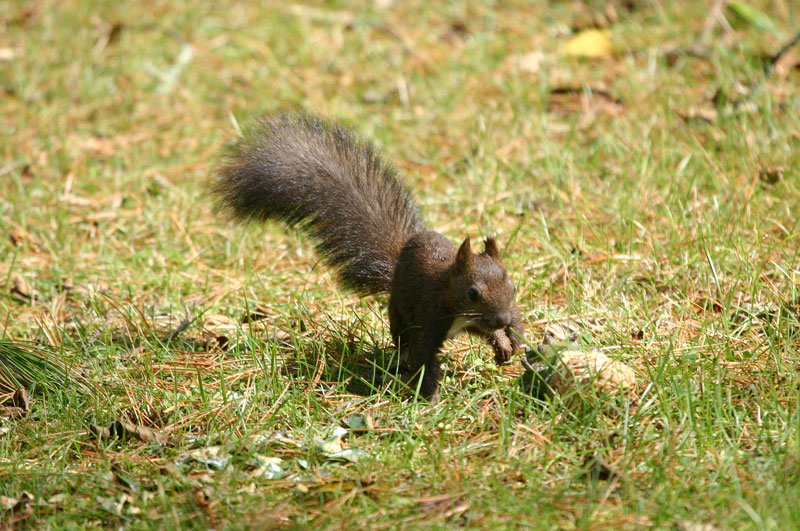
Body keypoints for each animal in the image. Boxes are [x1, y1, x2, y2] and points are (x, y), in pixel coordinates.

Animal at [212, 111, 524, 400]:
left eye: (512, 287)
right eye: (472, 293)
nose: (504, 320)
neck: (448, 292)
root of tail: (397, 263)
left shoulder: (474, 320)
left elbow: (485, 331)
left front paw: (505, 343)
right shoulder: (430, 315)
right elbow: (424, 357)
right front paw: (431, 396)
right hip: (399, 314)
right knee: (404, 345)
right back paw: (399, 368)